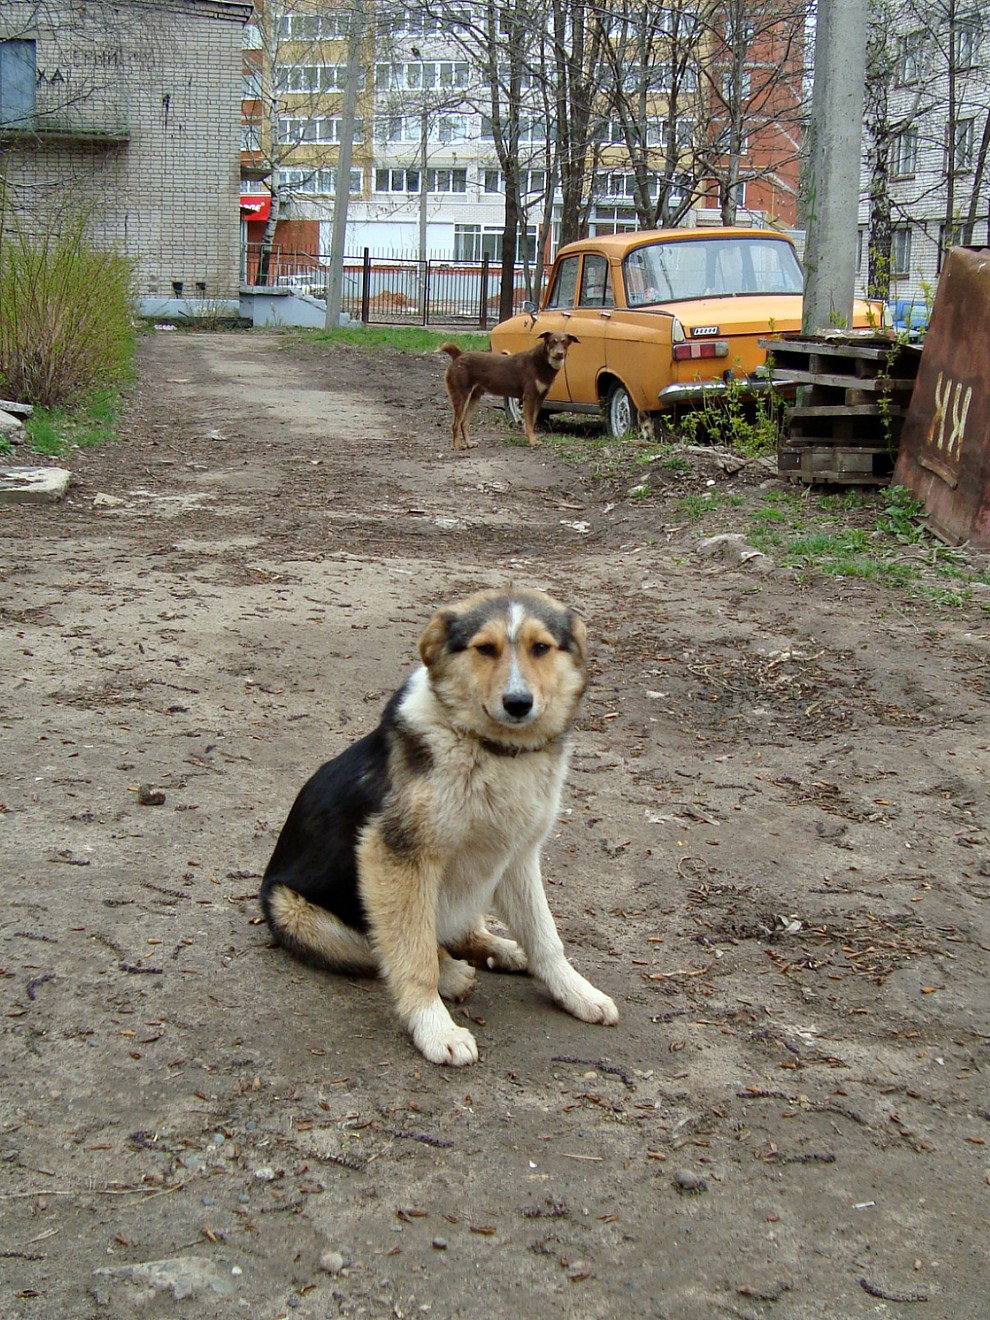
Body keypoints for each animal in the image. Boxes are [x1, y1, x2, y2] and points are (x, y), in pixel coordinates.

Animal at [260, 587, 618, 1067]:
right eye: (485, 649)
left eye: (540, 648)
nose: (518, 703)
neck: (492, 749)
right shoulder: (394, 857)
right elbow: (413, 958)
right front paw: (435, 1028)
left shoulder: (519, 855)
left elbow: (545, 936)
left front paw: (575, 992)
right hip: (294, 910)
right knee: (384, 947)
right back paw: (451, 973)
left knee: (460, 930)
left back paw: (501, 949)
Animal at [440, 332, 578, 450]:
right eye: (552, 342)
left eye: (564, 342)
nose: (560, 353)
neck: (543, 362)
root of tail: (458, 354)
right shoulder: (529, 397)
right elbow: (529, 423)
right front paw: (532, 441)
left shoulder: (539, 399)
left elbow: (532, 422)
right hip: (461, 396)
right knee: (455, 424)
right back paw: (457, 446)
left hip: (474, 397)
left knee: (464, 423)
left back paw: (469, 443)